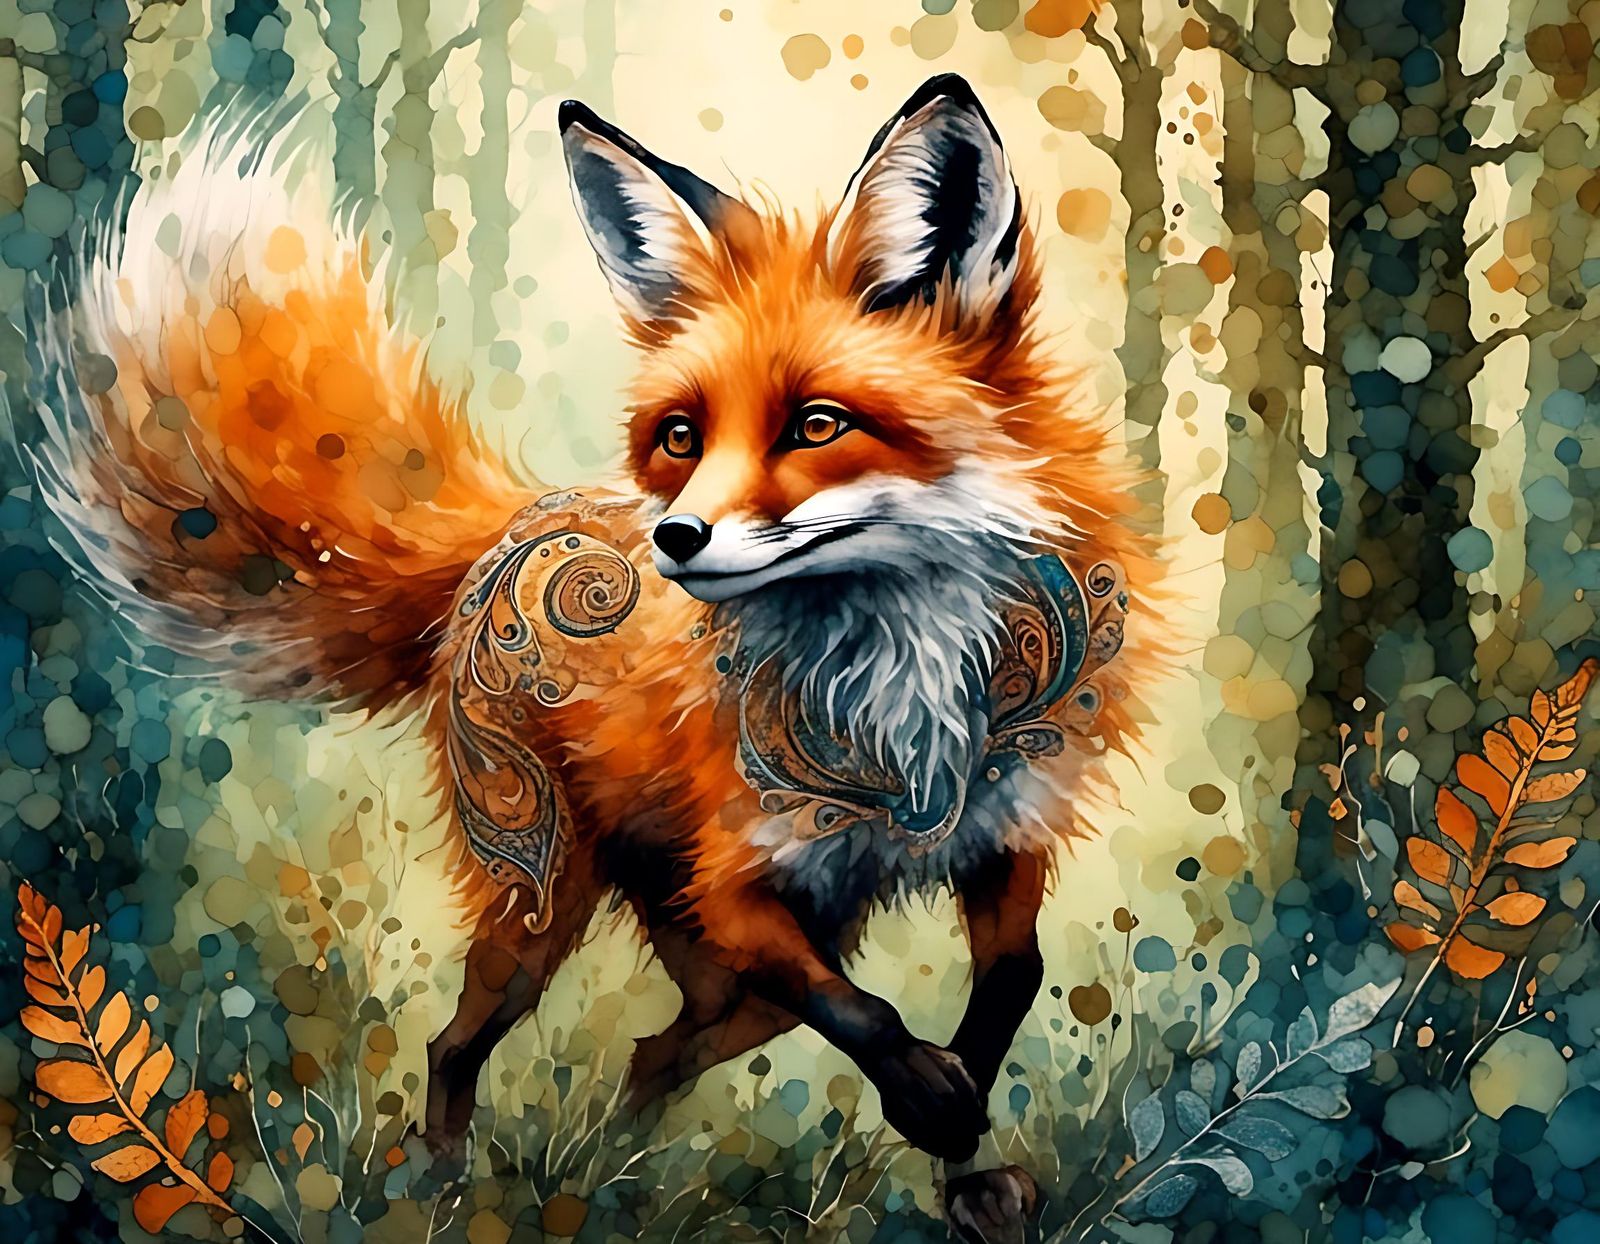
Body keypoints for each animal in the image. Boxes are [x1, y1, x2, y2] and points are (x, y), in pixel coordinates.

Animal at [35, 76, 1158, 1238]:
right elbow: (872, 1014)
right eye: (681, 436)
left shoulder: (1002, 832)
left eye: (817, 425)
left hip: (742, 951)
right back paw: (447, 1188)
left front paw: (964, 1153)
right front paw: (935, 1102)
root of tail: (512, 527)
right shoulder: (739, 886)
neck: (898, 672)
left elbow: (1011, 980)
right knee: (462, 1044)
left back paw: (611, 1174)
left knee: (655, 1050)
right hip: (540, 900)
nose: (675, 539)